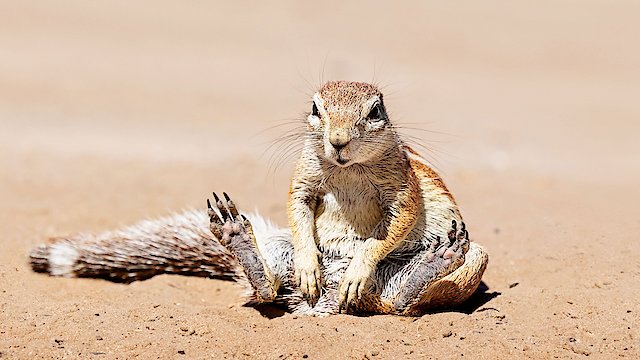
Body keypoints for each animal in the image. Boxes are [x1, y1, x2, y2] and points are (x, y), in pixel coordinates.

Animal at [28, 81, 490, 316]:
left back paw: (427, 265)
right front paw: (308, 263)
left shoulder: (403, 188)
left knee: (396, 305)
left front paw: (362, 264)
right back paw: (242, 242)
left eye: (375, 111)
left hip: (473, 258)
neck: (347, 168)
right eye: (316, 108)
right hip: (277, 252)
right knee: (266, 291)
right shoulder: (304, 179)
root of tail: (325, 302)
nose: (338, 141)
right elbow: (299, 211)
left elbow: (390, 228)